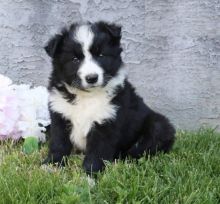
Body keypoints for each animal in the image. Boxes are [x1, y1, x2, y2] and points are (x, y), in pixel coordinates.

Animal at [43, 21, 176, 174]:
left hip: (158, 126)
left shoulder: (106, 123)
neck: (87, 96)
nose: (92, 78)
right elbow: (59, 144)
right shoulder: (60, 114)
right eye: (75, 59)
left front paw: (89, 175)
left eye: (101, 55)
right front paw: (51, 165)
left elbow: (96, 153)